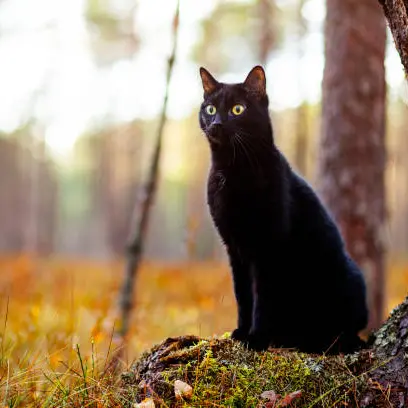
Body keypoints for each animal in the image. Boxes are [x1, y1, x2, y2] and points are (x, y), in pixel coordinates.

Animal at [199, 65, 368, 352]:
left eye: (237, 109)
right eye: (210, 109)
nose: (216, 123)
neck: (232, 168)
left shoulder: (269, 245)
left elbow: (263, 297)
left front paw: (256, 338)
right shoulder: (235, 247)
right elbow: (243, 295)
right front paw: (241, 332)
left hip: (350, 279)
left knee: (345, 330)